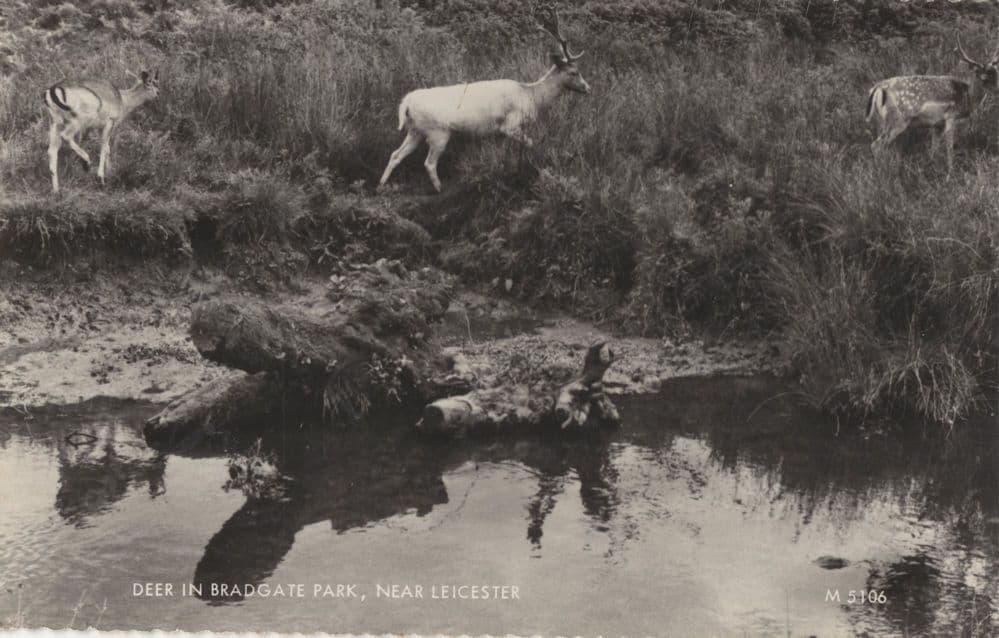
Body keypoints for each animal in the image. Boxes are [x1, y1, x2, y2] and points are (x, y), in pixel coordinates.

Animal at [378, 4, 590, 193]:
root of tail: (407, 102)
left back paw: (381, 184)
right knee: (428, 163)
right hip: (437, 131)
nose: (588, 88)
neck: (532, 96)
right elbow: (531, 143)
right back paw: (439, 188)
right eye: (574, 72)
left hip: (415, 130)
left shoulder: (499, 132)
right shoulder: (510, 125)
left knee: (395, 154)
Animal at [866, 37, 999, 174]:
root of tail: (877, 88)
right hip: (897, 119)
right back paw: (882, 171)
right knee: (876, 145)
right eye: (983, 77)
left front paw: (930, 166)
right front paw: (950, 172)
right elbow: (949, 146)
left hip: (883, 121)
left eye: (996, 73)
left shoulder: (937, 124)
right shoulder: (950, 116)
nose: (997, 90)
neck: (966, 96)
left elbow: (934, 147)